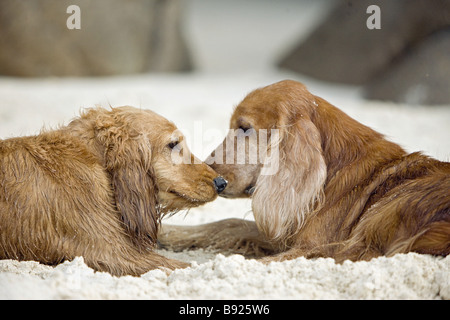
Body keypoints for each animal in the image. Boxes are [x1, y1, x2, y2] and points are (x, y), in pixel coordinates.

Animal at [160, 80, 450, 262]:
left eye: (244, 128)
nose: (215, 178)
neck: (333, 172)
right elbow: (229, 223)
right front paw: (168, 234)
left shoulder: (311, 246)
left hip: (389, 209)